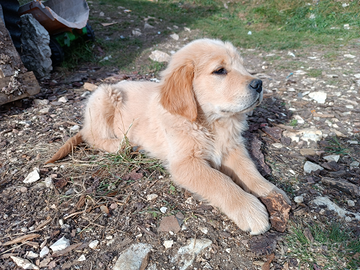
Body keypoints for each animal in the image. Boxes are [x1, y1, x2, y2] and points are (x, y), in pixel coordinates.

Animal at [47, 39, 290, 235]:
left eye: (242, 65)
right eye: (220, 71)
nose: (259, 84)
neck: (210, 122)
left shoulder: (232, 147)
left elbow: (249, 170)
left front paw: (272, 192)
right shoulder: (185, 162)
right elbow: (220, 181)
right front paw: (249, 209)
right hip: (104, 96)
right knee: (92, 136)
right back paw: (122, 145)